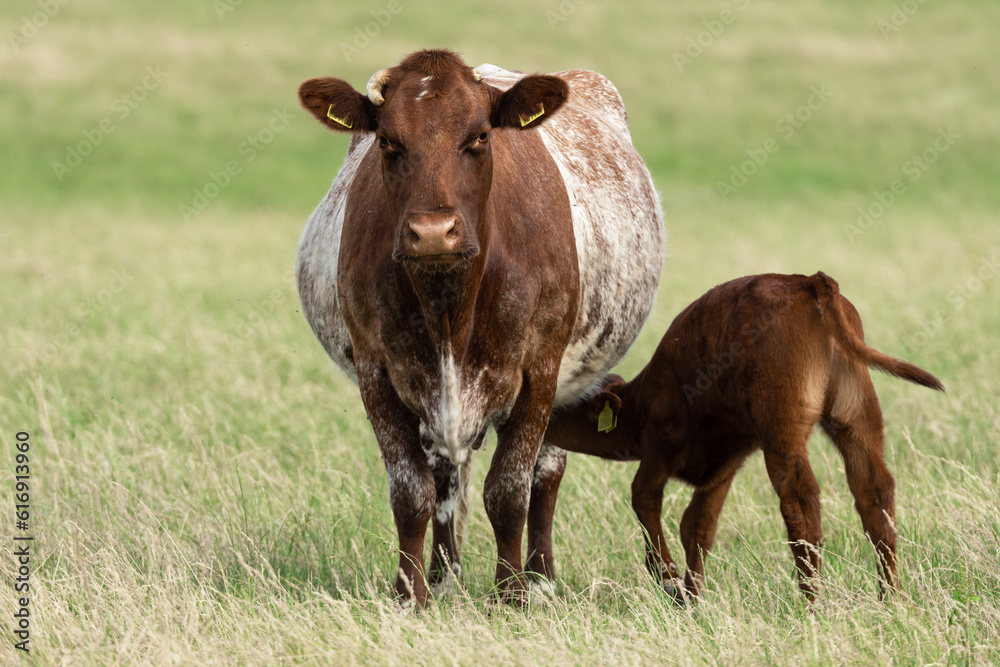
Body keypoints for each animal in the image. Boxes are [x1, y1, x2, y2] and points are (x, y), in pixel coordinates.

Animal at [296, 49, 668, 608]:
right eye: (387, 141)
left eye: (479, 137)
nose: (433, 233)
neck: (449, 306)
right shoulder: (377, 371)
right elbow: (411, 491)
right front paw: (411, 594)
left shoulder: (539, 372)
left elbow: (509, 491)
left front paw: (511, 593)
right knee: (445, 478)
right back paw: (445, 578)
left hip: (568, 381)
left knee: (545, 476)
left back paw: (540, 578)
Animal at [536, 272, 940, 600]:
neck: (640, 404)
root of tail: (809, 282)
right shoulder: (725, 464)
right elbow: (697, 526)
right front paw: (691, 598)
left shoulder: (660, 447)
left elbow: (644, 498)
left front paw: (668, 578)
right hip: (856, 416)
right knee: (875, 492)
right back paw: (890, 600)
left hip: (782, 427)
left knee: (801, 500)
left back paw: (813, 604)